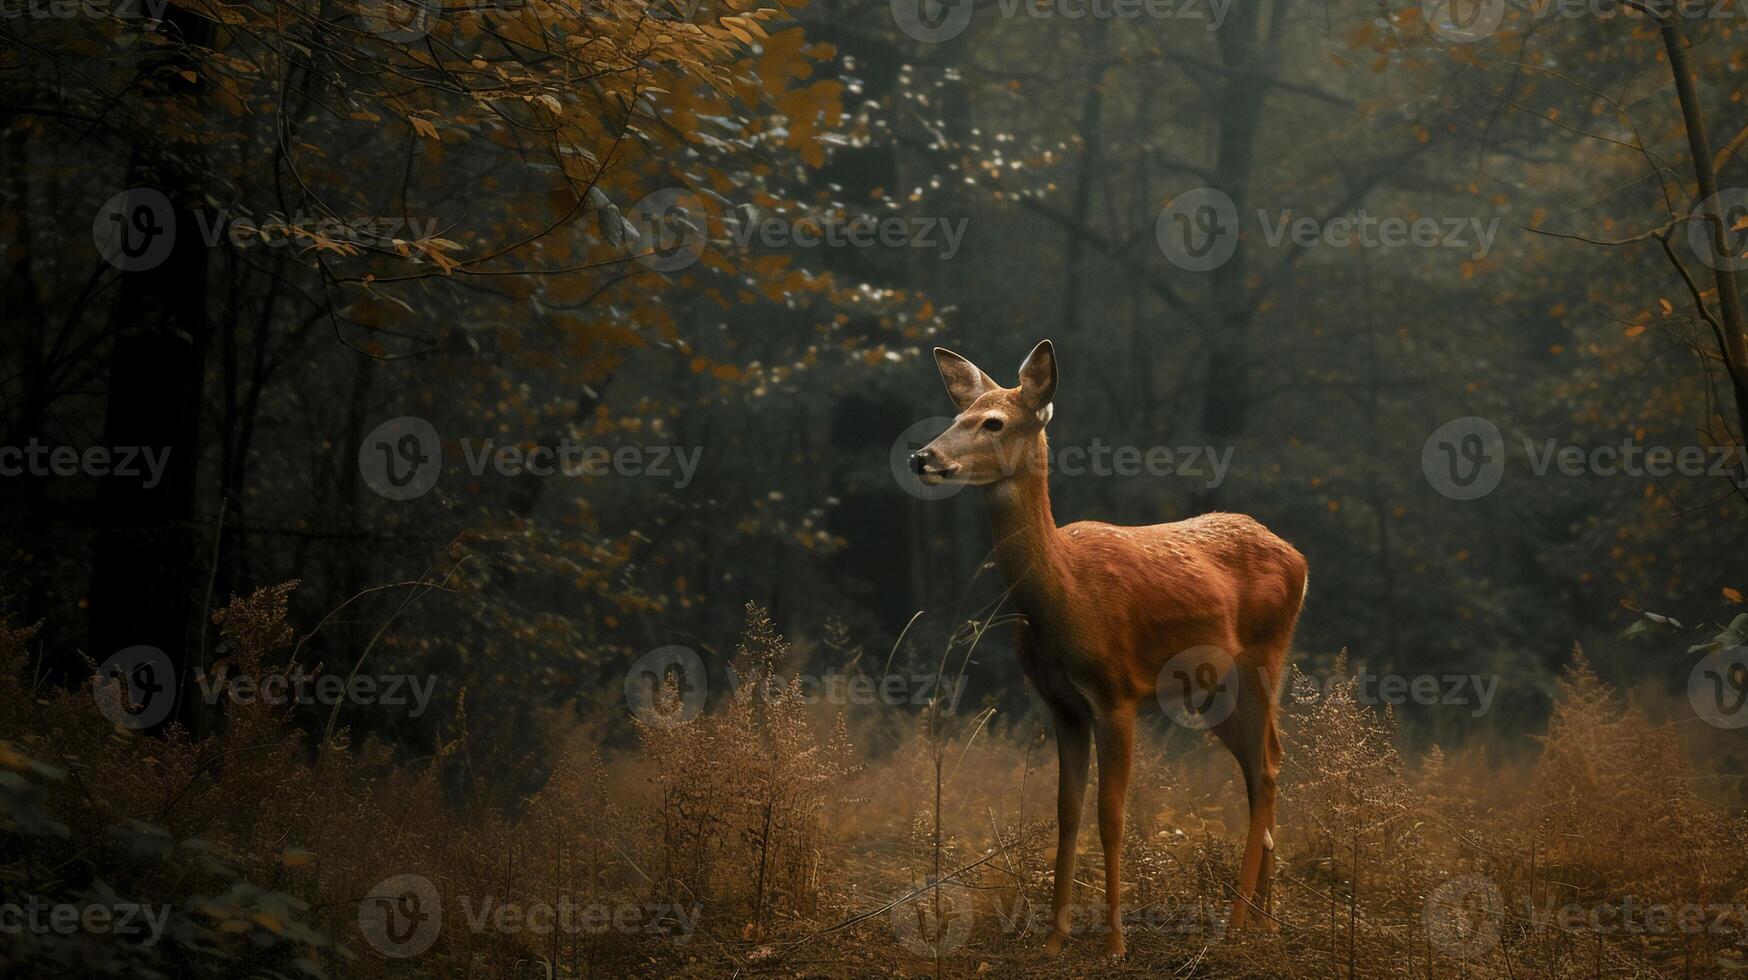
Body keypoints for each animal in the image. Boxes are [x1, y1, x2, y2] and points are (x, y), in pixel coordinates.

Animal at [908, 338, 1307, 957]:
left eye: (993, 421)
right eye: (957, 416)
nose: (922, 458)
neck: (1063, 595)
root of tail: (1299, 557)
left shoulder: (1117, 692)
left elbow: (1111, 814)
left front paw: (1116, 940)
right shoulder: (1061, 704)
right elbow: (1067, 810)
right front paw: (1055, 938)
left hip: (1264, 659)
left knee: (1265, 768)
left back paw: (1239, 921)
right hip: (1212, 690)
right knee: (1263, 763)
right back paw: (1266, 920)